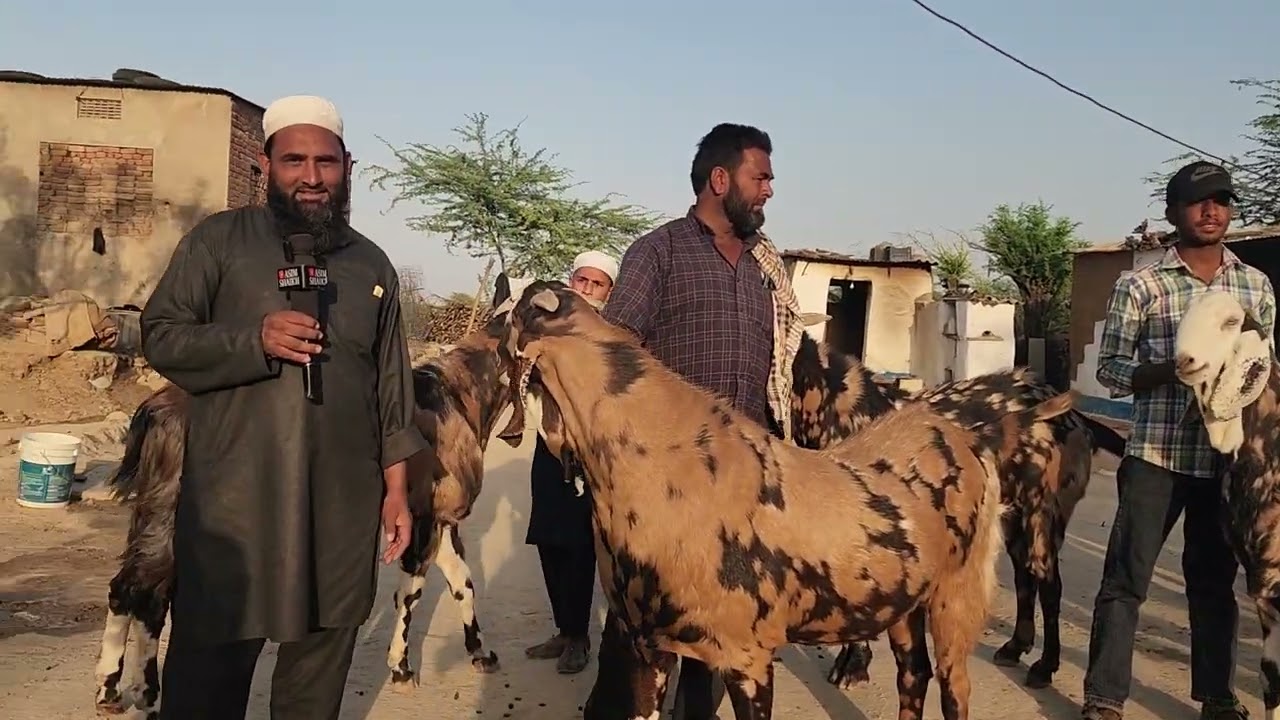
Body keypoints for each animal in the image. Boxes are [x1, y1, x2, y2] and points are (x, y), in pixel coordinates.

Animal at [495, 279, 1076, 720]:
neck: (665, 465)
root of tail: (967, 434)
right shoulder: (649, 648)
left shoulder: (747, 660)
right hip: (905, 607)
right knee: (915, 677)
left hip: (960, 597)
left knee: (959, 685)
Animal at [791, 333, 1127, 690]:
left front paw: (853, 666)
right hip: (1013, 522)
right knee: (1025, 579)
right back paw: (1016, 646)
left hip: (1041, 520)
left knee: (1050, 587)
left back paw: (1045, 665)